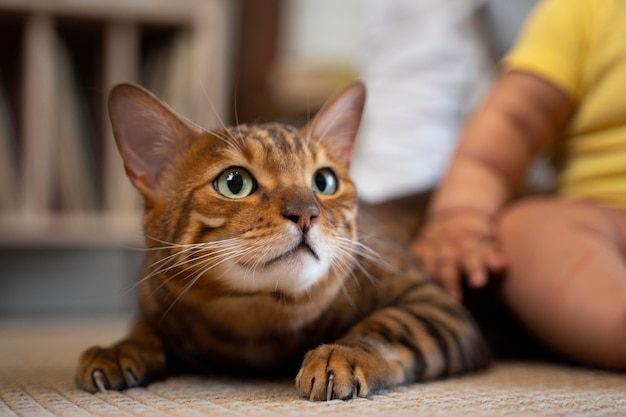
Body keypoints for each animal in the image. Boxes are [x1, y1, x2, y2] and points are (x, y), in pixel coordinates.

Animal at [74, 82, 488, 400]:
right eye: (234, 182)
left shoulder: (434, 303)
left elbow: (390, 325)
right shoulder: (159, 304)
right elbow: (144, 331)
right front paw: (116, 351)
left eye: (324, 181)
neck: (256, 321)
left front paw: (342, 353)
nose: (305, 213)